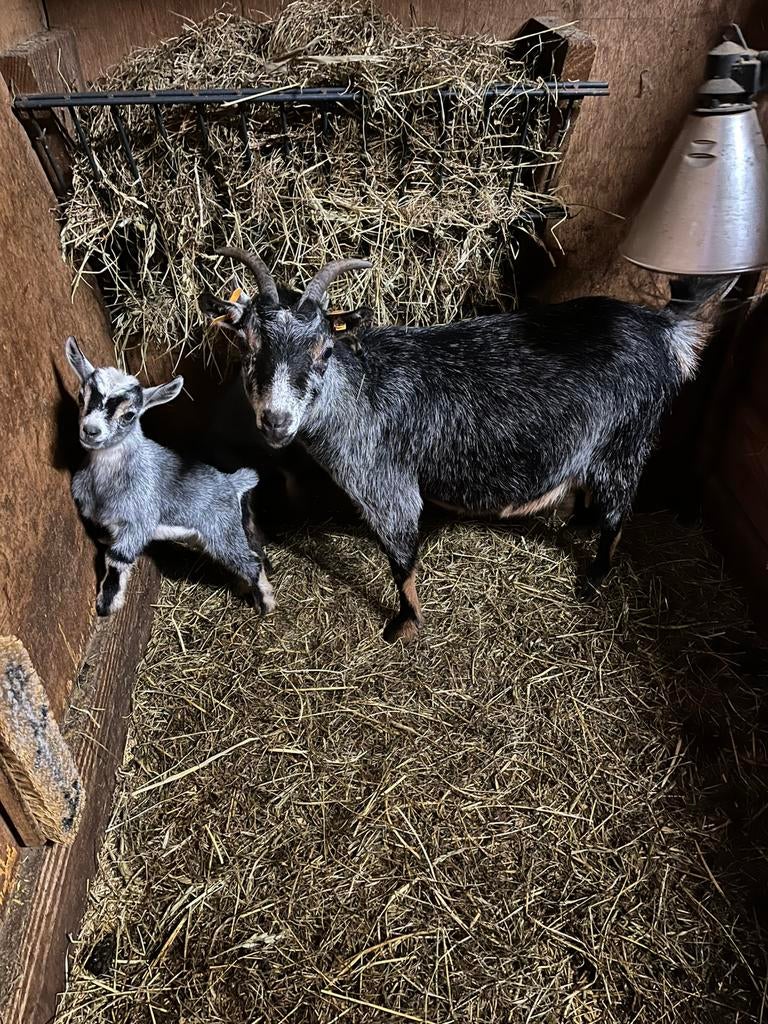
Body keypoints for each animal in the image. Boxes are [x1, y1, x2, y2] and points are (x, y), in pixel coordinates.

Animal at [64, 336, 274, 617]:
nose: (90, 430)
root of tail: (233, 481)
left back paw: (266, 604)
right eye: (81, 396)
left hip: (221, 531)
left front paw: (106, 606)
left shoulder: (139, 522)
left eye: (129, 414)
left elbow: (116, 559)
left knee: (250, 561)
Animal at [203, 249, 706, 643]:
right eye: (247, 345)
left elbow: (402, 560)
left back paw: (594, 577)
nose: (276, 421)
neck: (361, 390)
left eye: (324, 350)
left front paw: (405, 624)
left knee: (619, 513)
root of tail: (665, 330)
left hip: (626, 440)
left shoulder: (385, 483)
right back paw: (579, 524)